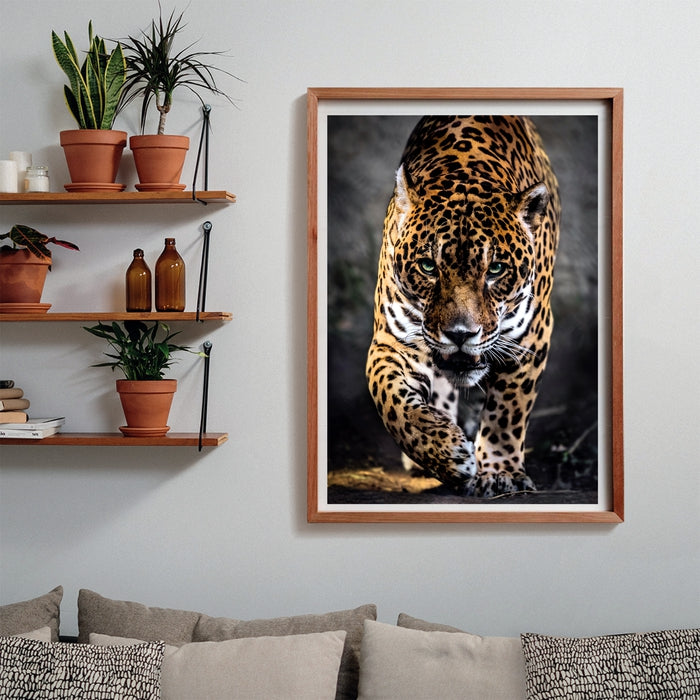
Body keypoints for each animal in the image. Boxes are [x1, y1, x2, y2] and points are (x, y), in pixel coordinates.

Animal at [366, 115, 560, 497]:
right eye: (428, 266)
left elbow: (507, 410)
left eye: (496, 269)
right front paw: (446, 453)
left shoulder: (530, 337)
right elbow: (390, 399)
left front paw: (500, 472)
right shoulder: (392, 340)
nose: (460, 334)